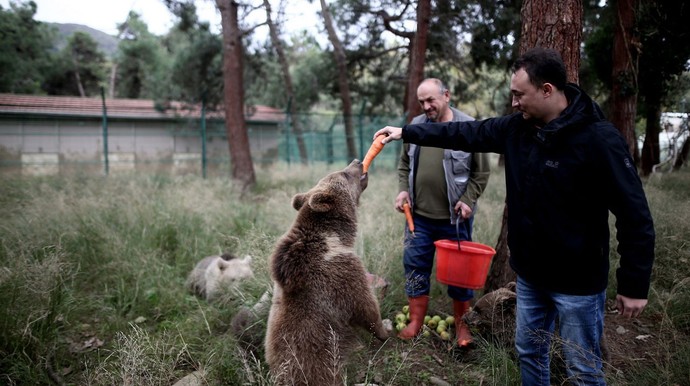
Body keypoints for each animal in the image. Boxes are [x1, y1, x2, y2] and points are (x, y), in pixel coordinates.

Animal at [264, 158, 388, 384]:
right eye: (344, 174)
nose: (357, 161)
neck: (333, 237)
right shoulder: (341, 274)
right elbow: (366, 306)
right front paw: (384, 330)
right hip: (319, 366)